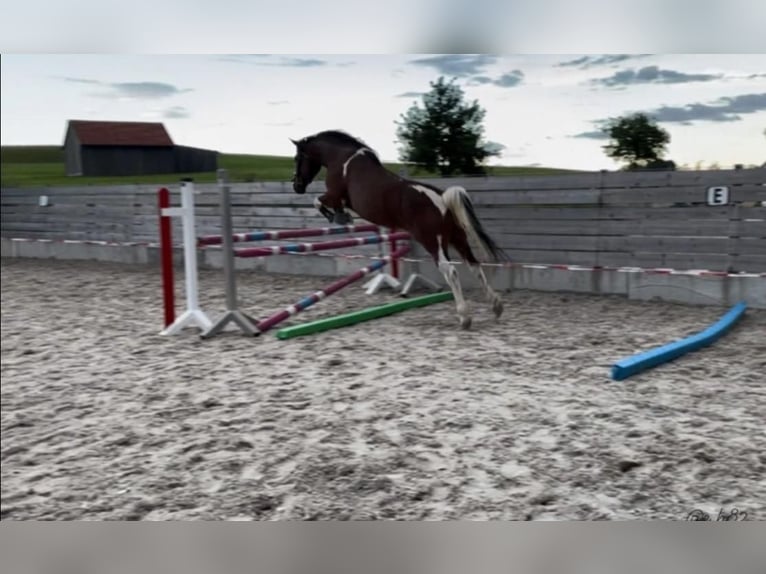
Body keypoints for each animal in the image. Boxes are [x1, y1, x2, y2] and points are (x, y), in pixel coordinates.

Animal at [292, 129, 512, 330]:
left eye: (297, 158)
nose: (297, 186)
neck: (343, 158)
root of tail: (442, 199)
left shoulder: (334, 195)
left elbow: (318, 202)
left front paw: (338, 217)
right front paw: (342, 216)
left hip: (433, 242)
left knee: (450, 271)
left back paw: (465, 317)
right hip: (457, 240)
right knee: (475, 266)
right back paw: (496, 306)